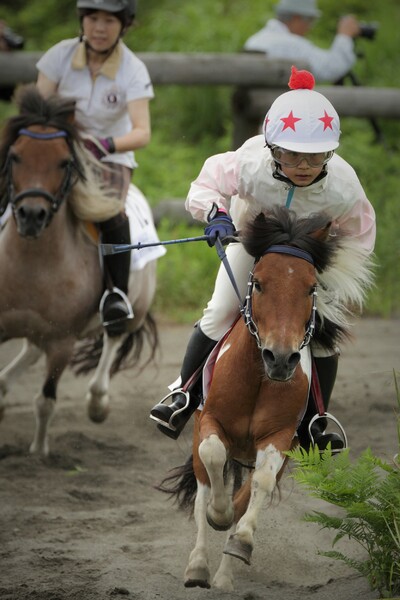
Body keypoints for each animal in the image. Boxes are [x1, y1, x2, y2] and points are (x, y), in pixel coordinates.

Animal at [0, 85, 159, 454]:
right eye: (15, 156)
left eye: (64, 161)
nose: (31, 215)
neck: (31, 265)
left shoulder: (62, 342)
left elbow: (45, 401)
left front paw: (38, 452)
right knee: (30, 350)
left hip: (132, 310)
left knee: (114, 338)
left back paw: (98, 404)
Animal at [158, 206, 374, 592]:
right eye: (258, 282)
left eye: (310, 287)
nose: (281, 358)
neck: (259, 378)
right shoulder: (209, 422)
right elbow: (213, 461)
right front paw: (218, 514)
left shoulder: (280, 437)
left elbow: (260, 485)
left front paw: (240, 542)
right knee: (202, 490)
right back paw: (198, 566)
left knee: (248, 494)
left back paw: (225, 575)